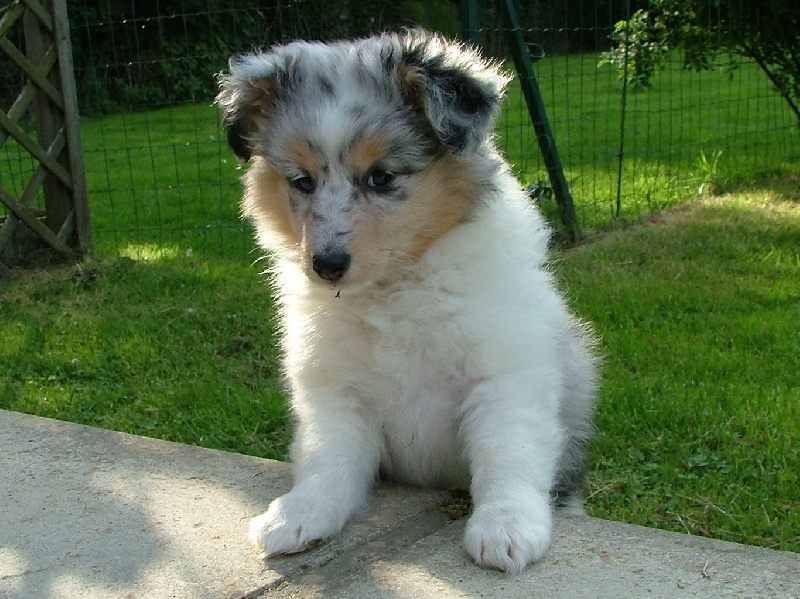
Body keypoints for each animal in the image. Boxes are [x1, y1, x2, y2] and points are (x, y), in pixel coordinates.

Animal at [217, 29, 598, 573]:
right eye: (302, 181)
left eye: (382, 176)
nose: (326, 265)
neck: (394, 289)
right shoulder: (335, 391)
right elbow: (328, 460)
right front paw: (299, 514)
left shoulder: (505, 377)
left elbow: (507, 453)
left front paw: (506, 527)